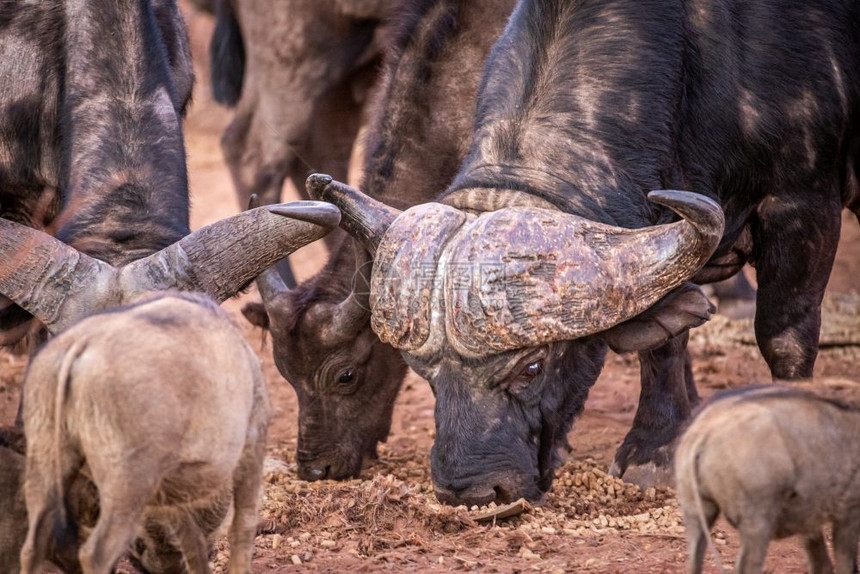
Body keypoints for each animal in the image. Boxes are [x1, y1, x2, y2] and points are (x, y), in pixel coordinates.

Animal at [20, 294, 268, 572]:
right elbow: (244, 523)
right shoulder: (253, 439)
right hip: (126, 481)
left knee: (32, 547)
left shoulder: (165, 490)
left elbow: (191, 541)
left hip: (44, 461)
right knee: (96, 552)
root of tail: (80, 345)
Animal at [312, 0, 860, 508]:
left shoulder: (802, 201)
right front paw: (657, 447)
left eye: (532, 368)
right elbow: (664, 340)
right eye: (421, 370)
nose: (471, 491)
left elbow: (784, 337)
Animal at [676, 384, 860, 574]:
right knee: (747, 566)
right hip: (757, 518)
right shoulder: (849, 510)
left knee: (694, 561)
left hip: (694, 507)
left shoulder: (811, 519)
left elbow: (822, 562)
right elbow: (845, 564)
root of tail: (704, 433)